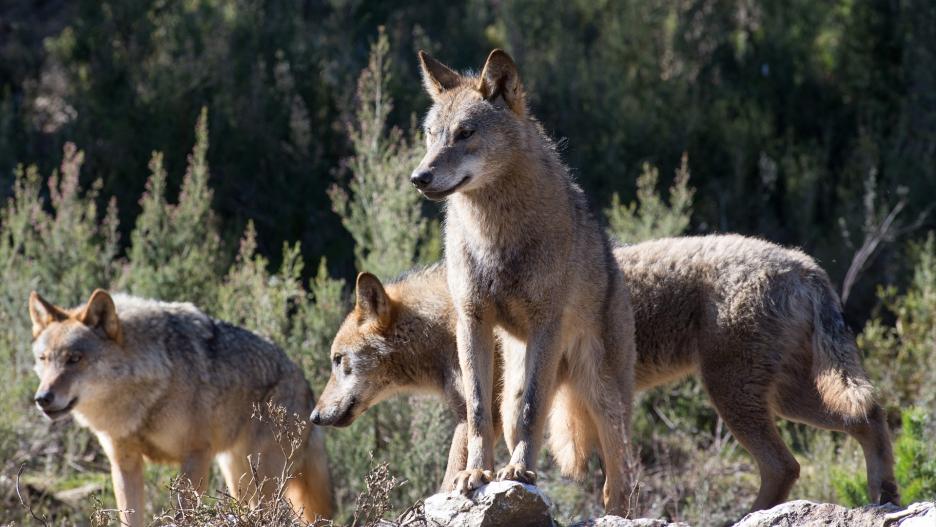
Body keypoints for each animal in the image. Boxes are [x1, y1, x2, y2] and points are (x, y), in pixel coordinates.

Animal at [28, 290, 332, 527]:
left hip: (263, 482)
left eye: (75, 359)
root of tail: (306, 384)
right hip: (239, 479)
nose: (42, 398)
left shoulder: (195, 456)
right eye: (43, 359)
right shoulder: (124, 463)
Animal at [312, 235, 900, 516]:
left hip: (738, 397)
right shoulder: (479, 417)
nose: (315, 416)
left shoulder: (481, 417)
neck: (446, 322)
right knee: (869, 417)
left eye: (339, 363)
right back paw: (885, 495)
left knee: (786, 463)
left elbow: (453, 474)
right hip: (788, 398)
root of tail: (806, 265)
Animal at [408, 49, 636, 516]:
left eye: (465, 133)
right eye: (431, 135)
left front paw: (518, 472)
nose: (419, 177)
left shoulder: (546, 322)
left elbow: (535, 409)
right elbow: (478, 412)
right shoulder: (471, 322)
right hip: (515, 387)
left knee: (618, 484)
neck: (495, 235)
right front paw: (476, 473)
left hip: (604, 400)